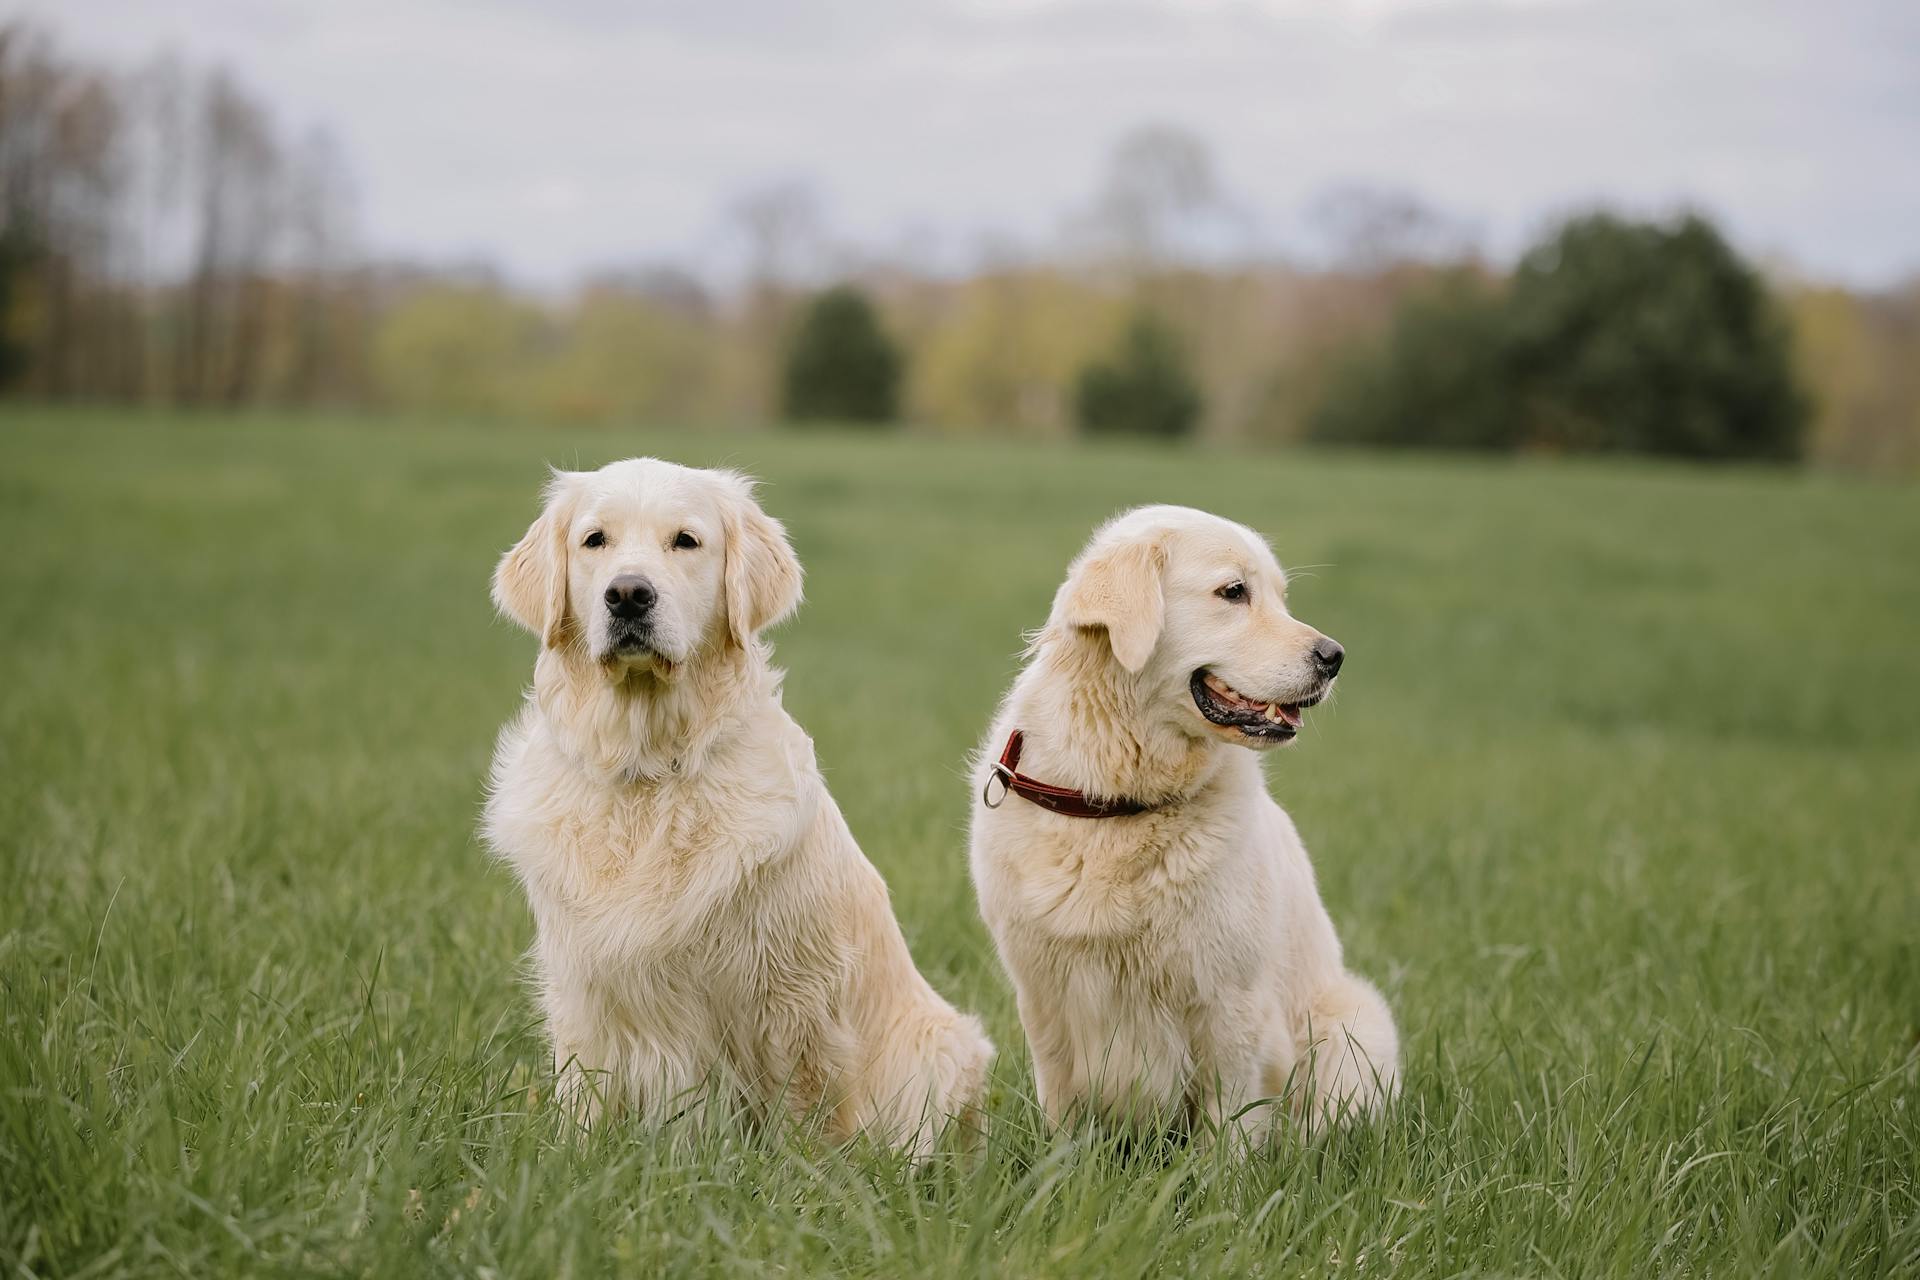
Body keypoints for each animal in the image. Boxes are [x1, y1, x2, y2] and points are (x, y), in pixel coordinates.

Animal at [480, 462, 990, 1159]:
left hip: (943, 1045)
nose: (628, 595)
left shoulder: (793, 994)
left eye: (686, 541)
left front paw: (802, 1176)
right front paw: (573, 1160)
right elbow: (585, 1095)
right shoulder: (584, 989)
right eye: (594, 540)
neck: (651, 769)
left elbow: (802, 1114)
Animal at [975, 506, 1397, 1136]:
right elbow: (1063, 1116)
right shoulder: (1046, 1000)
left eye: (1281, 596)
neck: (1117, 801)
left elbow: (1229, 1128)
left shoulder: (1231, 1003)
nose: (1334, 657)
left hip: (1354, 1025)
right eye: (1234, 592)